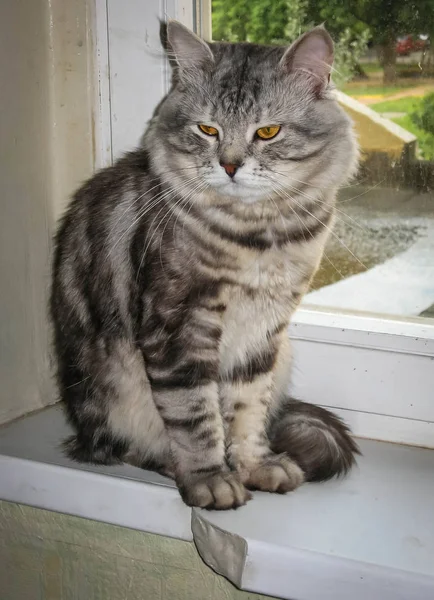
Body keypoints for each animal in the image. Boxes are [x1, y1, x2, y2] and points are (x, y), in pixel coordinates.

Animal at [50, 19, 360, 506]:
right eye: (207, 130)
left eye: (267, 132)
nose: (230, 166)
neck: (258, 235)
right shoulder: (179, 325)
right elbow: (195, 417)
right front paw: (210, 479)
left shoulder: (263, 330)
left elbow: (246, 411)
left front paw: (254, 466)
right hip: (111, 397)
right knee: (121, 448)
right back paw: (168, 464)